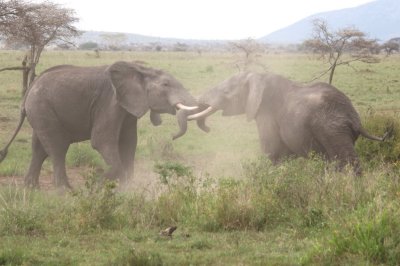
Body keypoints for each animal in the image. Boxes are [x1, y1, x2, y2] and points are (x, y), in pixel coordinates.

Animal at [0, 61, 200, 188]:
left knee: (39, 149)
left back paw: (31, 188)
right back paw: (65, 190)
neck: (140, 69)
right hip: (42, 107)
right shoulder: (110, 102)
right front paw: (98, 185)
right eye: (165, 84)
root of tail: (30, 88)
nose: (173, 136)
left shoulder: (127, 109)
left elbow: (129, 143)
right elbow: (101, 141)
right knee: (58, 148)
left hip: (40, 111)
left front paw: (126, 190)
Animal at [188, 71, 390, 175]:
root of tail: (354, 117)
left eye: (226, 92)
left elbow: (271, 151)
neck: (258, 75)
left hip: (332, 129)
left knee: (344, 161)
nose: (207, 128)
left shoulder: (266, 112)